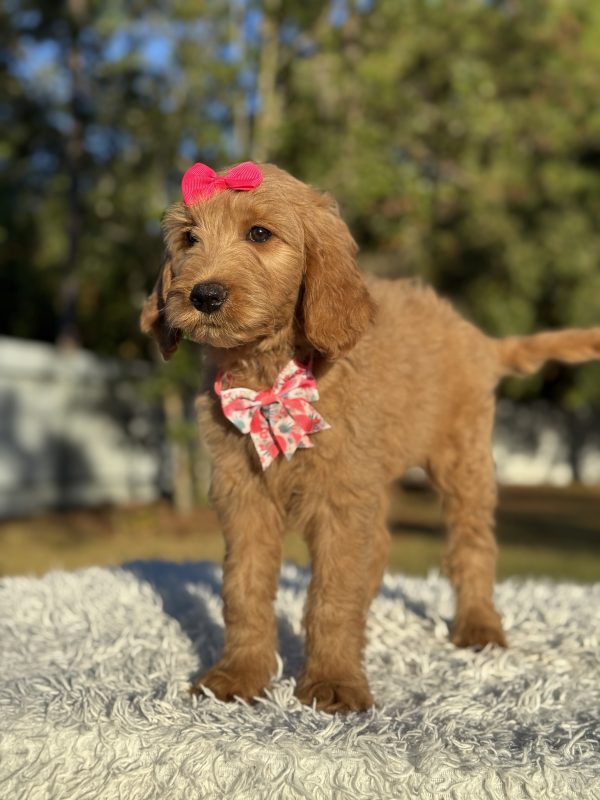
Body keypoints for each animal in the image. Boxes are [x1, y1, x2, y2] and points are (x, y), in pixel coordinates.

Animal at [141, 161, 600, 713]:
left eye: (259, 234)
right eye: (189, 238)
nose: (204, 294)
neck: (272, 375)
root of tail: (474, 335)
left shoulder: (340, 497)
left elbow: (333, 593)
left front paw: (333, 681)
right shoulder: (244, 494)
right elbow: (243, 588)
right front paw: (239, 675)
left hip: (462, 461)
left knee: (472, 544)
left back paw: (478, 625)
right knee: (380, 545)